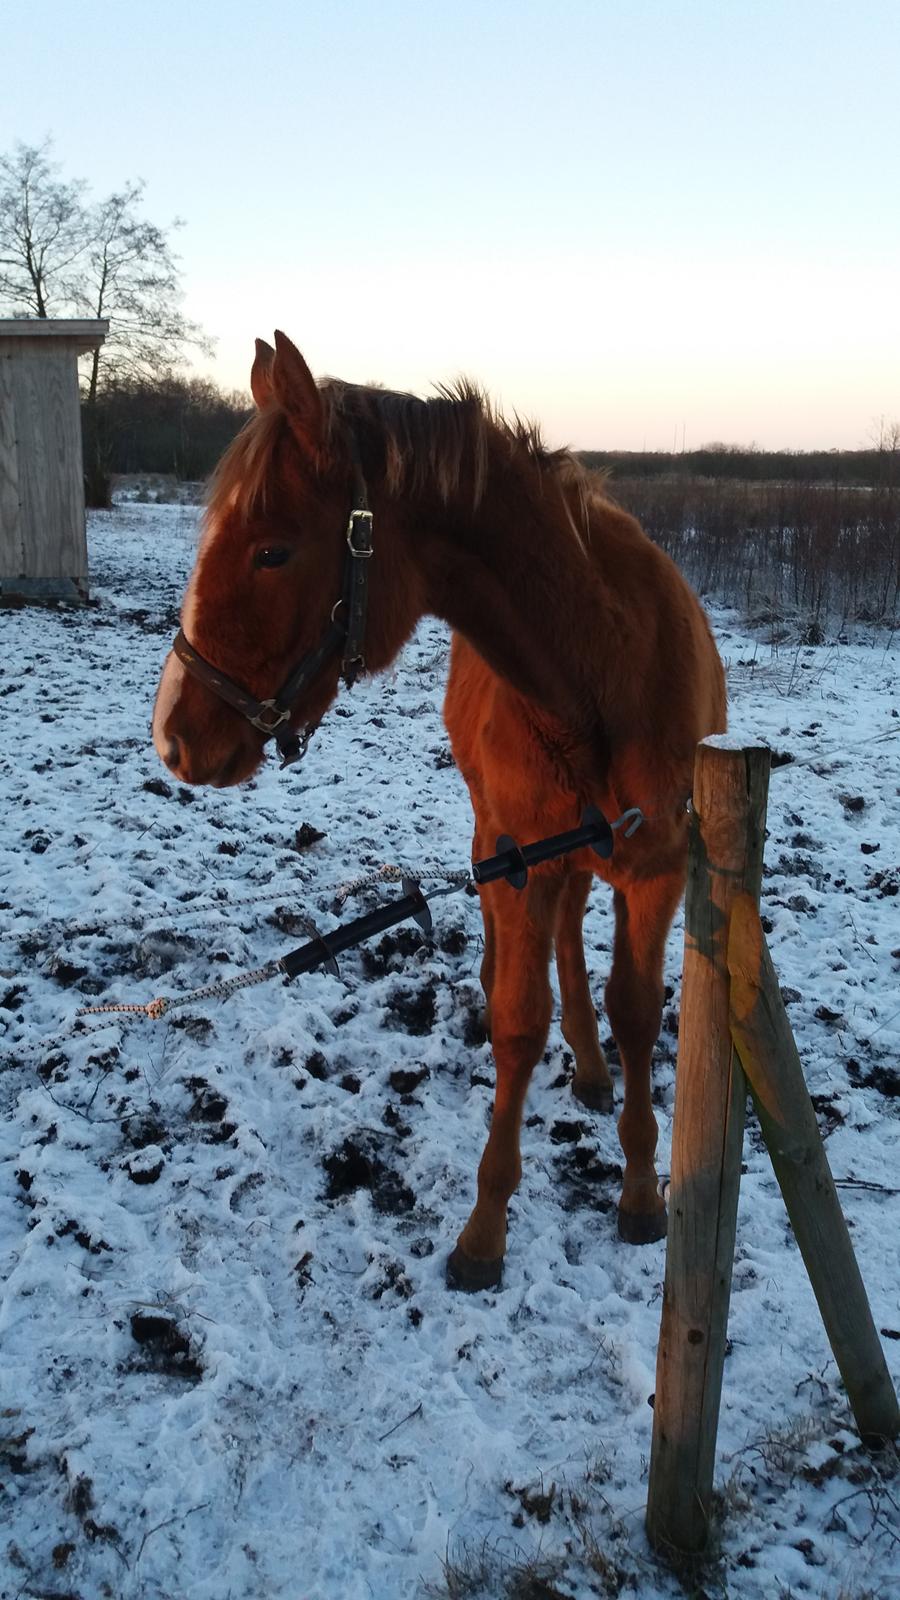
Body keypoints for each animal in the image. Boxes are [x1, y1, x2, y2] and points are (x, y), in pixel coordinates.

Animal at [153, 334, 723, 1286]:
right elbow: (519, 1025)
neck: (602, 675)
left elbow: (640, 1013)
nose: (174, 736)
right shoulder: (525, 859)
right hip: (503, 841)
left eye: (272, 553)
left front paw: (643, 1190)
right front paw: (485, 1230)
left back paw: (593, 1065)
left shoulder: (658, 869)